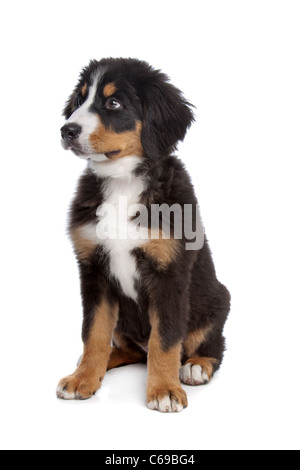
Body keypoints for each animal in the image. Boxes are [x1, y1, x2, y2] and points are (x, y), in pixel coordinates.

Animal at [56, 57, 230, 412]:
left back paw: (195, 367)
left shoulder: (169, 274)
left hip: (218, 301)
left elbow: (165, 339)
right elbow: (93, 332)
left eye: (114, 103)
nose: (67, 130)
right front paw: (84, 378)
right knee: (130, 350)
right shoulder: (93, 270)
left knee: (211, 347)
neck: (123, 182)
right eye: (80, 100)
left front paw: (164, 389)